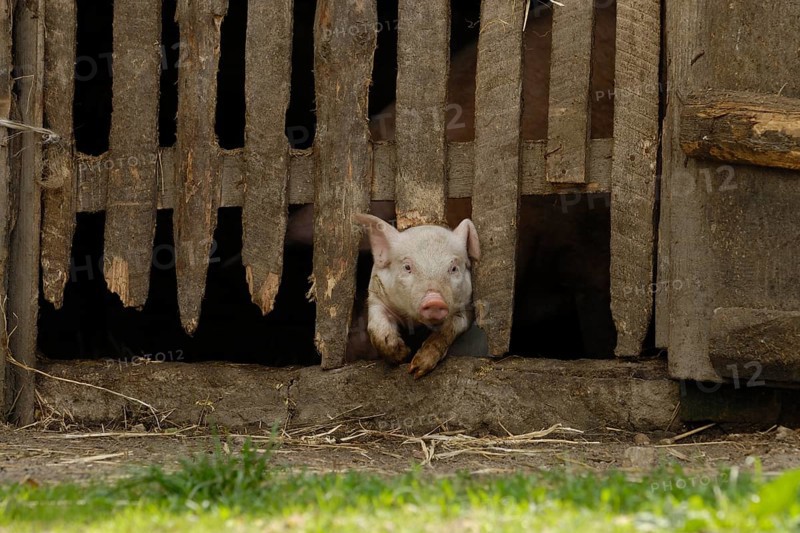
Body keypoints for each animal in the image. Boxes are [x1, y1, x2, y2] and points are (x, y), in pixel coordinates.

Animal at [354, 213, 481, 378]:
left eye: (453, 268)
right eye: (407, 267)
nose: (434, 300)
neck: (416, 323)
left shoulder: (467, 306)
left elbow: (447, 330)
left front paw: (416, 370)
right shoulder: (377, 295)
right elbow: (376, 327)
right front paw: (402, 354)